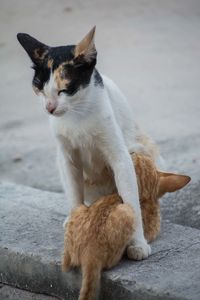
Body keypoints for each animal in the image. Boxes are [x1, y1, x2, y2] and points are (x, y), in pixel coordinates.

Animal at [17, 25, 164, 260]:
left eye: (64, 90)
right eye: (39, 88)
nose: (49, 108)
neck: (77, 114)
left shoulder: (120, 158)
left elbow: (131, 200)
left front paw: (138, 243)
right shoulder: (68, 159)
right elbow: (74, 195)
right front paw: (75, 224)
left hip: (141, 149)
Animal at [62, 154, 191, 300]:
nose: (131, 152)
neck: (144, 197)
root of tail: (89, 254)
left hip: (79, 209)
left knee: (65, 264)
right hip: (126, 211)